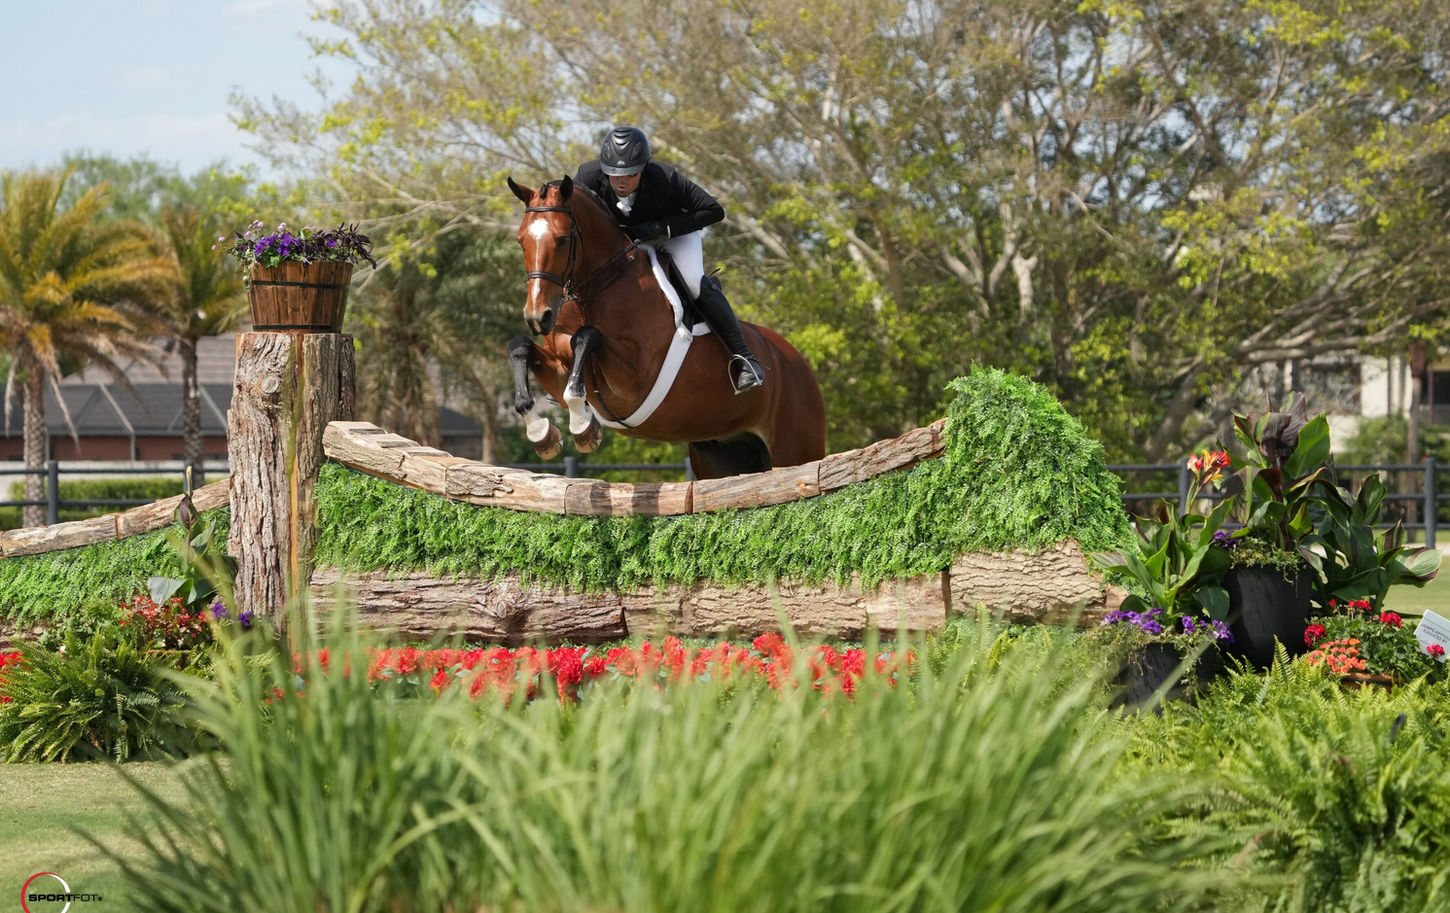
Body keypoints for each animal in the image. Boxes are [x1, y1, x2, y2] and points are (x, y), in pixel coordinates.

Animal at [505, 176, 826, 479]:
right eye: (521, 241)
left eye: (561, 240)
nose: (538, 316)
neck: (598, 288)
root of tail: (797, 361)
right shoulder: (559, 367)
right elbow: (520, 347)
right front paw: (541, 433)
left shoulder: (635, 378)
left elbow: (586, 337)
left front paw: (584, 427)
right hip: (723, 454)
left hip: (795, 450)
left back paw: (750, 371)